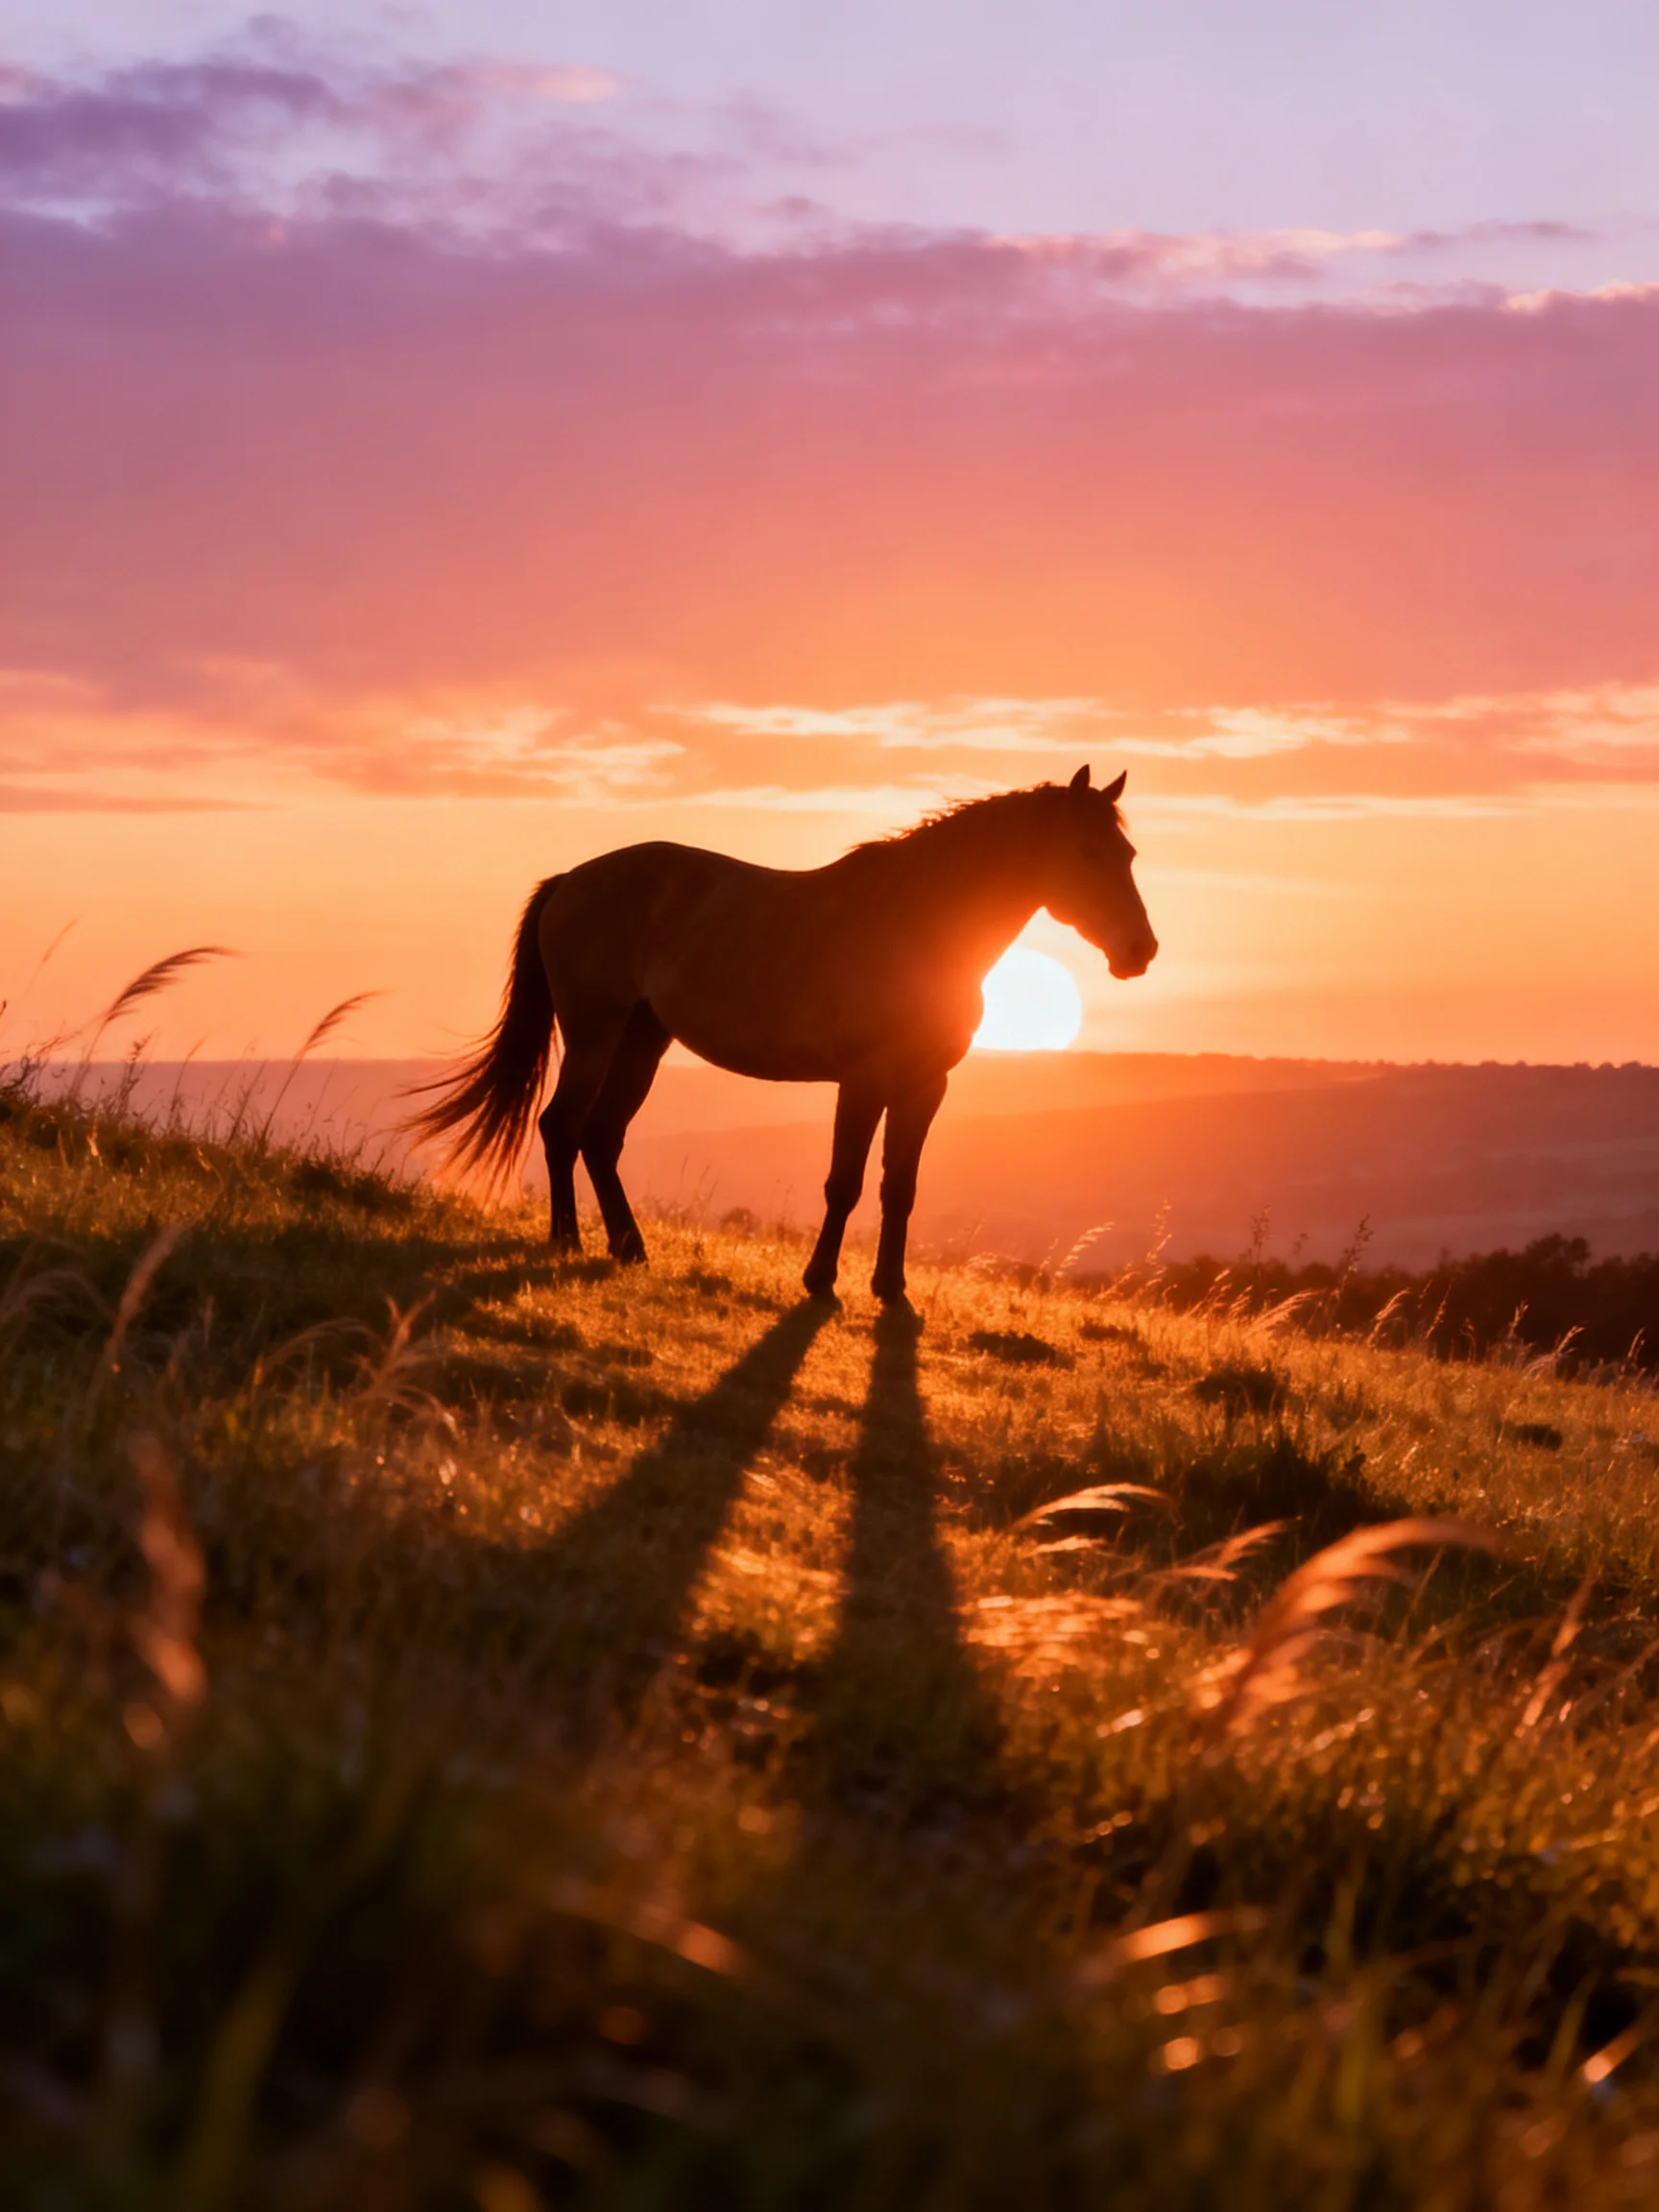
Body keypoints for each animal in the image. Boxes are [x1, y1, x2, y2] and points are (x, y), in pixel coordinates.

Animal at [410, 765, 1157, 1304]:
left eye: (1128, 852)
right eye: (1087, 852)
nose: (1140, 951)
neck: (917, 928)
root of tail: (572, 879)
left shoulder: (926, 1086)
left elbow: (900, 1188)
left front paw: (892, 1290)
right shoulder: (864, 1080)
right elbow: (844, 1183)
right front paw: (821, 1283)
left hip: (643, 1041)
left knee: (601, 1136)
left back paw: (630, 1248)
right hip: (595, 1034)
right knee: (563, 1127)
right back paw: (567, 1243)